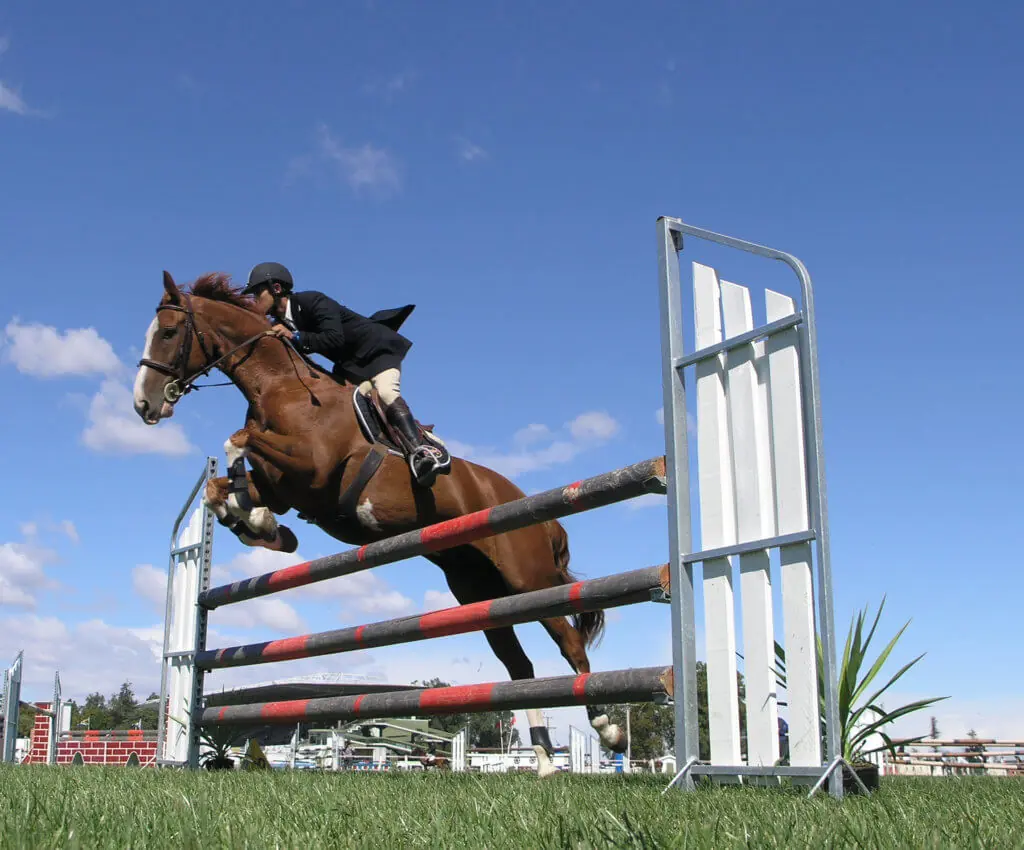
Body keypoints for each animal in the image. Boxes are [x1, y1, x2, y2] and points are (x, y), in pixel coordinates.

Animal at [132, 271, 627, 775]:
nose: (143, 404)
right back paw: (544, 762)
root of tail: (536, 515)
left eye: (168, 332)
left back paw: (607, 728)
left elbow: (237, 440)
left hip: (527, 577)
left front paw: (263, 523)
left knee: (569, 640)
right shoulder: (286, 485)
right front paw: (265, 526)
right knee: (520, 666)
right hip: (480, 593)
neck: (280, 386)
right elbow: (223, 486)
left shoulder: (311, 465)